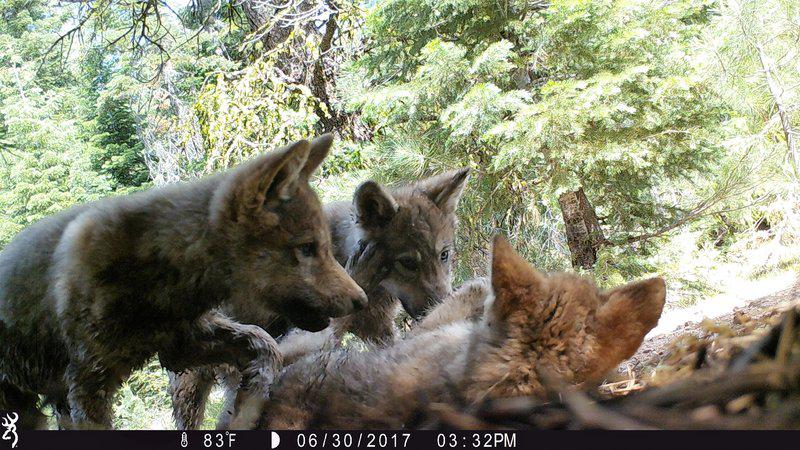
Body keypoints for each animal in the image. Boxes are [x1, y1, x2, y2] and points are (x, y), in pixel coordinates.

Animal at [0, 135, 367, 429]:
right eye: (306, 248)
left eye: (325, 247)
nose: (361, 300)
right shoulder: (88, 384)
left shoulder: (182, 346)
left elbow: (265, 347)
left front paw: (245, 410)